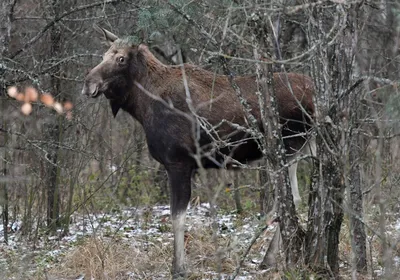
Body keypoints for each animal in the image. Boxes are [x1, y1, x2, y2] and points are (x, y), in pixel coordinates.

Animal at [82, 24, 316, 278]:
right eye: (103, 55)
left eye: (121, 58)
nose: (88, 83)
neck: (143, 106)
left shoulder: (179, 162)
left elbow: (177, 217)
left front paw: (179, 267)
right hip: (302, 145)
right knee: (292, 197)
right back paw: (268, 259)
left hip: (290, 144)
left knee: (290, 197)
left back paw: (266, 257)